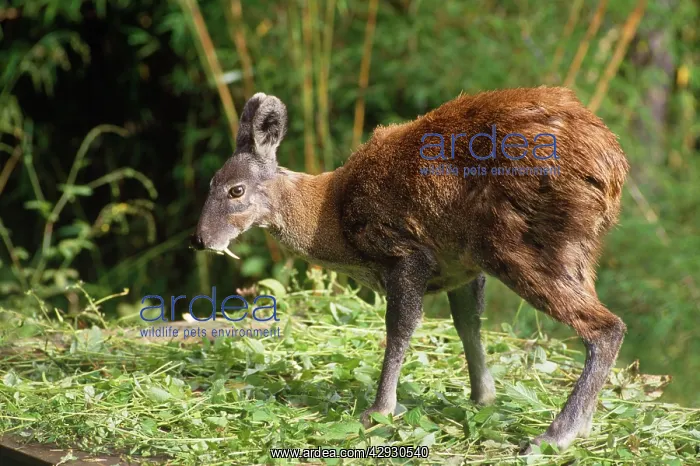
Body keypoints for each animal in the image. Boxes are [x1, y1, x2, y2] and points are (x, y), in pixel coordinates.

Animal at [191, 87, 629, 452]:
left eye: (236, 190)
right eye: (209, 182)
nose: (199, 240)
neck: (330, 220)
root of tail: (612, 169)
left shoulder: (404, 250)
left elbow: (401, 326)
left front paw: (379, 410)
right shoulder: (462, 266)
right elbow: (468, 323)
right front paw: (482, 397)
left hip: (522, 244)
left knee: (607, 326)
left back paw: (555, 435)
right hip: (569, 254)